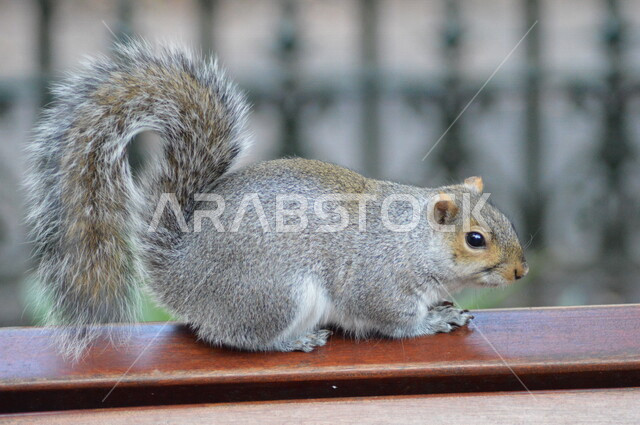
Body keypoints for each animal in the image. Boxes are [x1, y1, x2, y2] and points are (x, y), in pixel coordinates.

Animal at [26, 41, 528, 359]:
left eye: (505, 220)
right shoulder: (378, 281)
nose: (520, 271)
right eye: (476, 239)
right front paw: (430, 323)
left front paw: (445, 309)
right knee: (243, 339)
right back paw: (293, 341)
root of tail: (181, 275)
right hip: (276, 294)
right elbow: (391, 318)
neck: (413, 241)